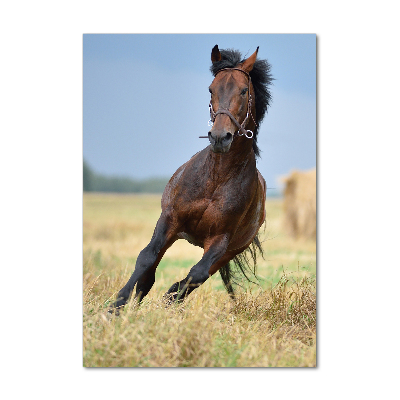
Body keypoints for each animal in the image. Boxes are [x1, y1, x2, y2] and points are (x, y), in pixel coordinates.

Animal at [111, 44, 274, 312]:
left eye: (243, 90)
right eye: (211, 89)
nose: (220, 137)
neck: (216, 178)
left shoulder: (220, 240)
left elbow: (195, 275)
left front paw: (166, 302)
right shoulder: (170, 219)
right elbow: (145, 259)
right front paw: (116, 307)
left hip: (228, 252)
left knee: (195, 278)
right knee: (149, 275)